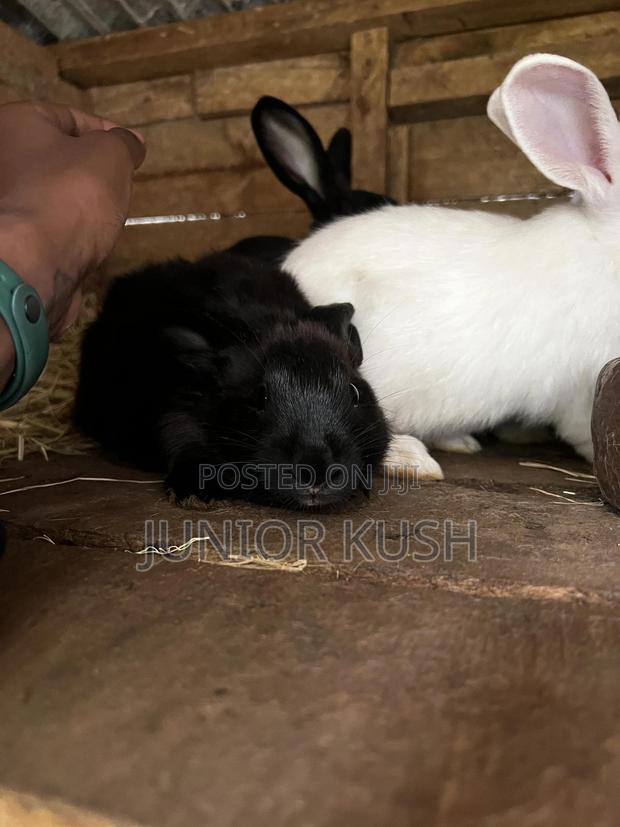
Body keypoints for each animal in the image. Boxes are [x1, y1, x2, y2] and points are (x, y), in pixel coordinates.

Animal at [74, 252, 390, 510]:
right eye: (258, 397)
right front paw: (196, 495)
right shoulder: (177, 410)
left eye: (354, 393)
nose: (316, 471)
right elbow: (182, 438)